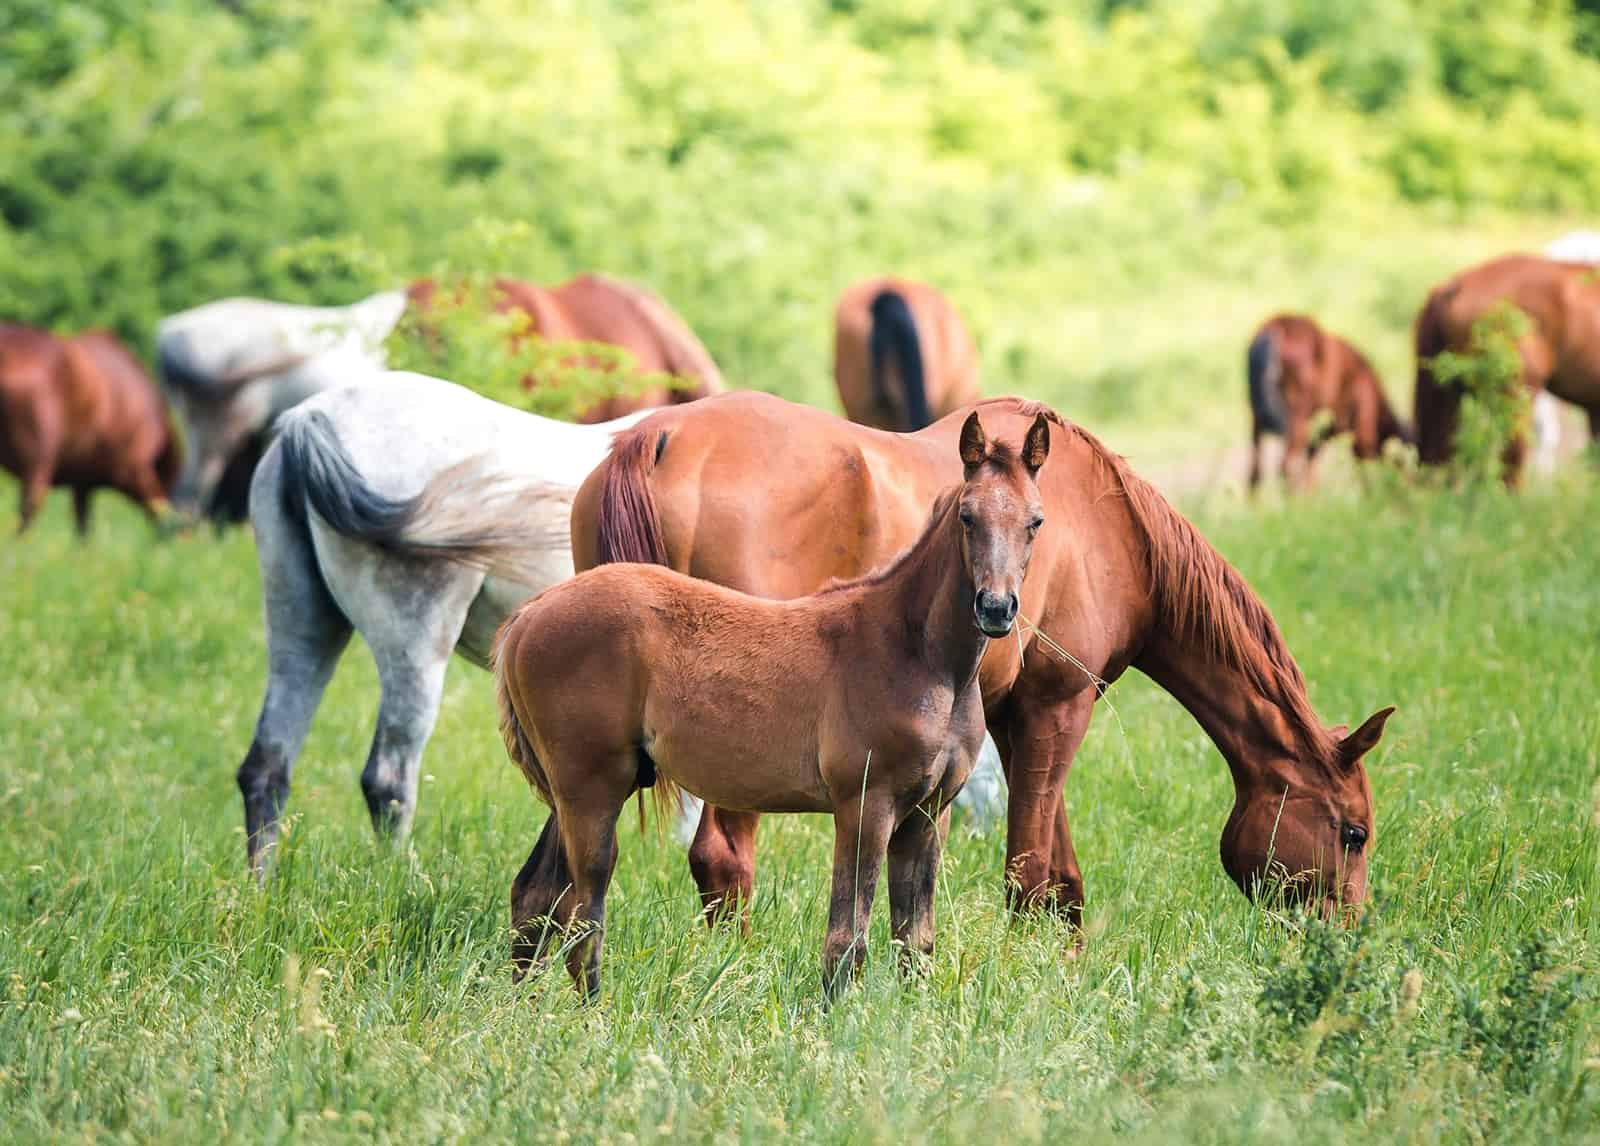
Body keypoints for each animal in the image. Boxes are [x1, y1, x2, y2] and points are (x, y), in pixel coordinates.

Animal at [0, 324, 180, 534]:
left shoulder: (83, 481)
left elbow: (83, 524)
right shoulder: (134, 466)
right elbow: (157, 505)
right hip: (38, 460)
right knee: (28, 508)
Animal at [234, 371, 662, 879]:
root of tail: (309, 419)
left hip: (303, 628)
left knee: (267, 767)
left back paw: (259, 889)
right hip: (416, 647)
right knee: (387, 778)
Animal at [496, 411, 1051, 997]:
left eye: (1035, 521)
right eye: (968, 516)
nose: (996, 608)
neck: (918, 653)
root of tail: (529, 615)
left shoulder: (924, 816)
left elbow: (915, 942)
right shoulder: (865, 805)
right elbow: (847, 939)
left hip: (580, 790)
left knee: (537, 895)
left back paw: (526, 1006)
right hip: (592, 789)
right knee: (584, 915)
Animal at [1245, 314, 1410, 490]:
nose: (1412, 482)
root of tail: (1276, 327)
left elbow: (1312, 457)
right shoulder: (1357, 421)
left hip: (1258, 419)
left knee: (1255, 472)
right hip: (1297, 418)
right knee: (1285, 465)